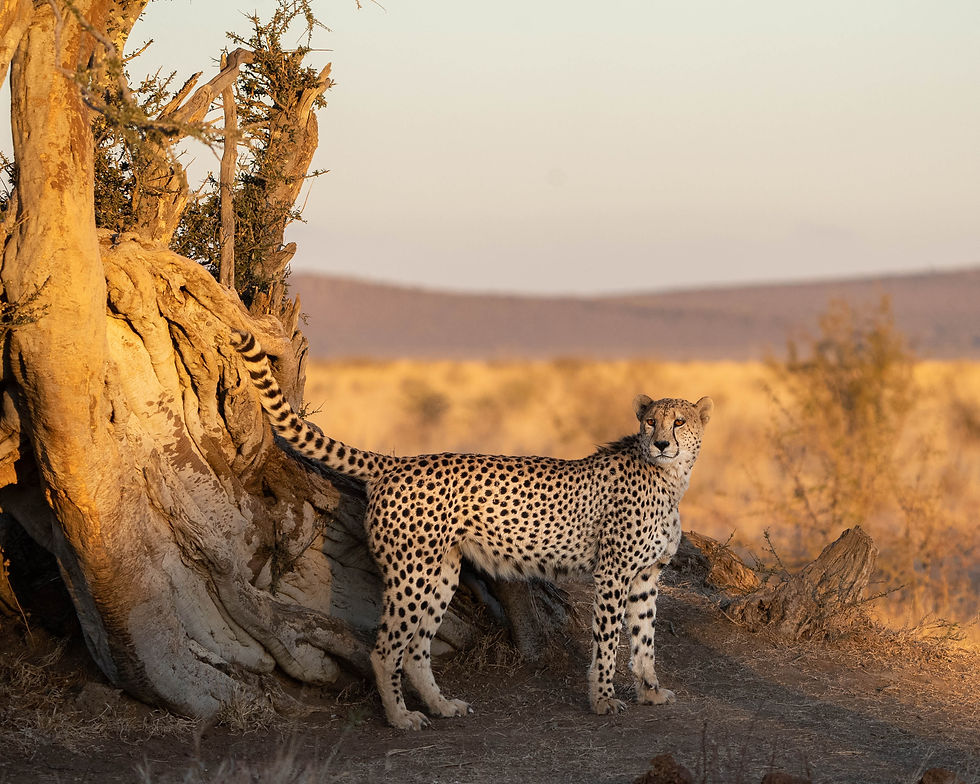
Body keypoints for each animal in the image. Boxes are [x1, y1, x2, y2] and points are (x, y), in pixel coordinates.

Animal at [231, 329, 712, 730]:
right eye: (650, 421)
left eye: (680, 422)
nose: (661, 443)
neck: (670, 477)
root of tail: (399, 462)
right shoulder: (612, 573)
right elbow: (609, 641)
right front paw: (604, 699)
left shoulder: (647, 576)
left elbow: (645, 639)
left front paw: (651, 691)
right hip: (411, 573)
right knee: (385, 650)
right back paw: (400, 718)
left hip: (440, 572)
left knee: (417, 648)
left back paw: (442, 706)